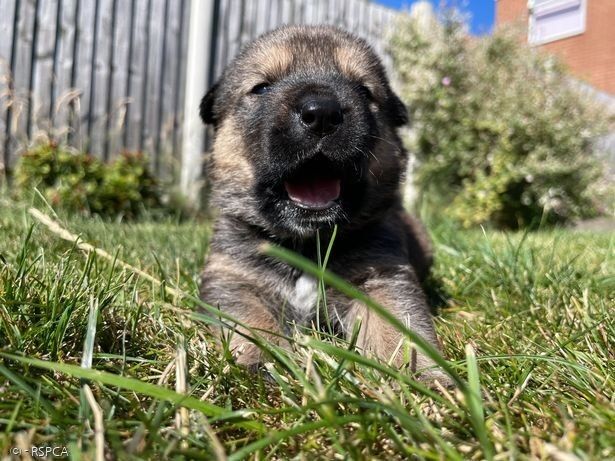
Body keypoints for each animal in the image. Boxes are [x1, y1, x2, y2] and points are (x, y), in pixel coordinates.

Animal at [202, 24, 448, 380]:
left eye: (364, 90)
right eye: (262, 87)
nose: (321, 113)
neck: (308, 244)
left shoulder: (384, 277)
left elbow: (399, 328)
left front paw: (420, 379)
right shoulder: (231, 277)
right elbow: (250, 321)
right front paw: (263, 365)